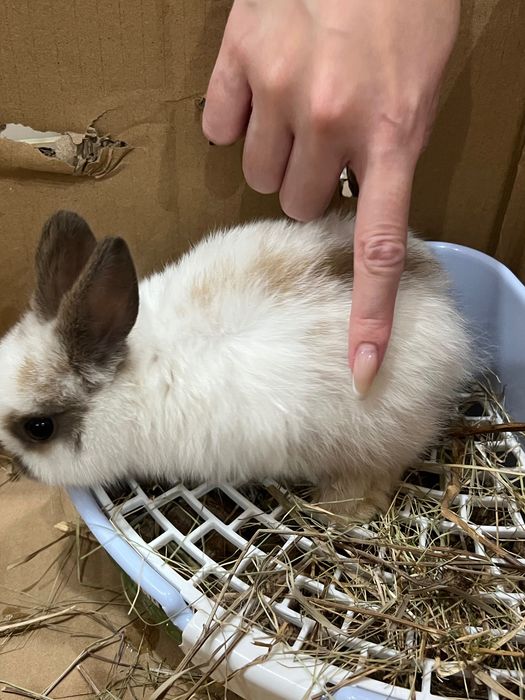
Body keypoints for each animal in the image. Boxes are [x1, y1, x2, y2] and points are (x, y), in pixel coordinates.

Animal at [0, 210, 473, 520]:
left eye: (39, 428)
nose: (18, 469)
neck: (132, 371)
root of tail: (444, 312)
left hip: (370, 440)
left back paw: (338, 513)